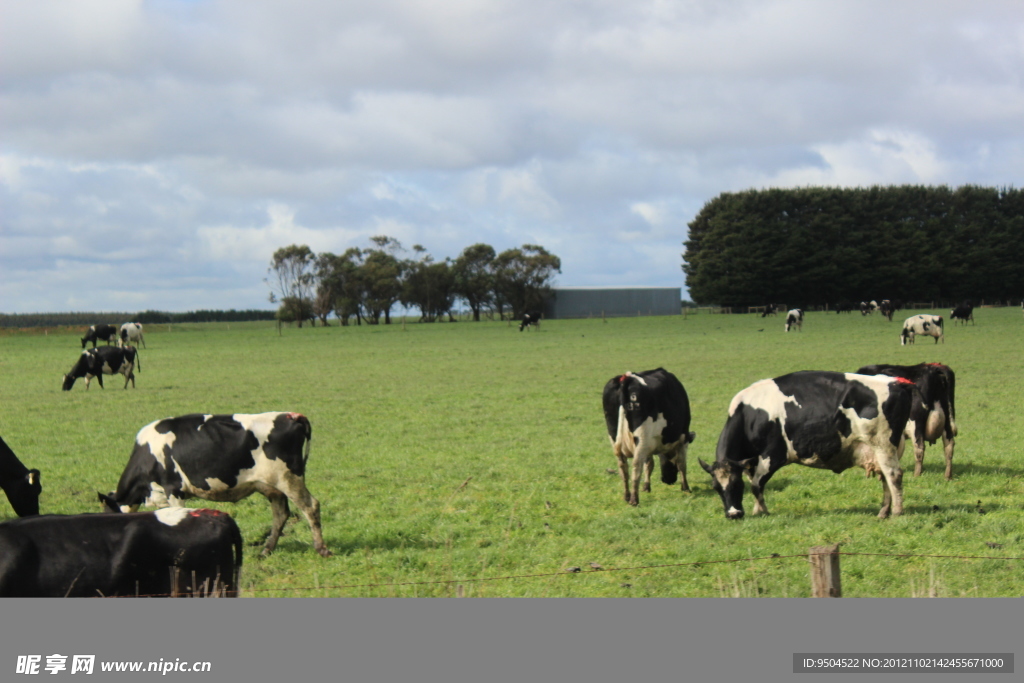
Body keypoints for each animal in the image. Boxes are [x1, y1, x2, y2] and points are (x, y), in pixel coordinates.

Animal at [101, 411, 329, 557]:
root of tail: (293, 416)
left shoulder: (173, 489)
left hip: (289, 478)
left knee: (310, 506)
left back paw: (321, 549)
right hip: (272, 486)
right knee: (281, 514)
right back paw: (266, 550)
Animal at [598, 368, 696, 507]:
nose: (668, 480)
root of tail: (627, 377)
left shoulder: (649, 443)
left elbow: (649, 464)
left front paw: (646, 487)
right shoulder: (683, 439)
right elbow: (682, 464)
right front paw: (686, 488)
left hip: (615, 436)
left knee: (623, 468)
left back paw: (627, 496)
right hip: (641, 437)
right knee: (636, 465)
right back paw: (634, 499)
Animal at [700, 370, 917, 520]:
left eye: (736, 484)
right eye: (715, 487)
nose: (734, 514)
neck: (748, 415)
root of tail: (896, 383)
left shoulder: (773, 455)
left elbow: (756, 485)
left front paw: (763, 511)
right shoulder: (750, 461)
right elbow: (754, 483)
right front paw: (757, 510)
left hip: (882, 444)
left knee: (893, 475)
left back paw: (897, 512)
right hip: (883, 448)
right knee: (886, 478)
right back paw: (883, 511)